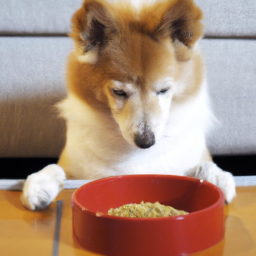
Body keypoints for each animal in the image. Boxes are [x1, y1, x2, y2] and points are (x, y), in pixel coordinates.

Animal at [20, 0, 236, 210]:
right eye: (119, 92)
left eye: (164, 90)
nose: (145, 141)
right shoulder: (72, 165)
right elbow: (54, 167)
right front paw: (38, 186)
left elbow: (205, 165)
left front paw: (219, 178)